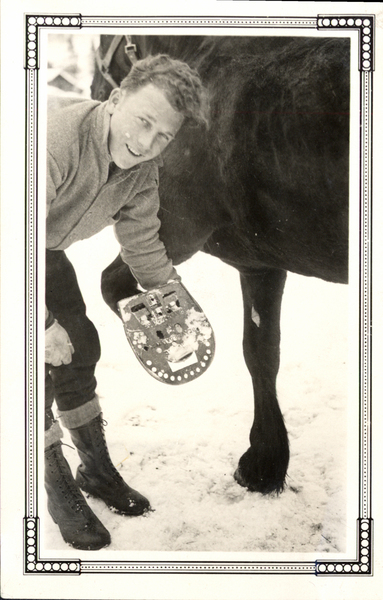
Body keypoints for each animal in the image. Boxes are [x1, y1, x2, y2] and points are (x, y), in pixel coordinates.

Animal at [91, 32, 352, 494]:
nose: (93, 92)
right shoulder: (260, 266)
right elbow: (261, 352)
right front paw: (265, 463)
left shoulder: (175, 230)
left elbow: (117, 288)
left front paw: (164, 342)